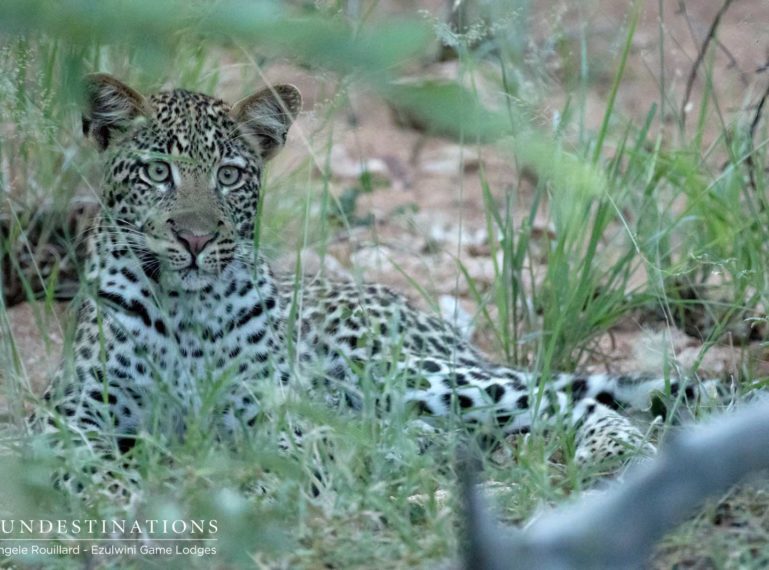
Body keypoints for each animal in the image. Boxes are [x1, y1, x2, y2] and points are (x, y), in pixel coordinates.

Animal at [25, 73, 720, 500]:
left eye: (228, 174)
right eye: (157, 172)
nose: (195, 238)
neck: (185, 309)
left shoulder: (271, 408)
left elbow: (288, 446)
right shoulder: (70, 410)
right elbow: (84, 457)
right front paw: (121, 493)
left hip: (404, 369)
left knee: (554, 395)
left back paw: (617, 446)